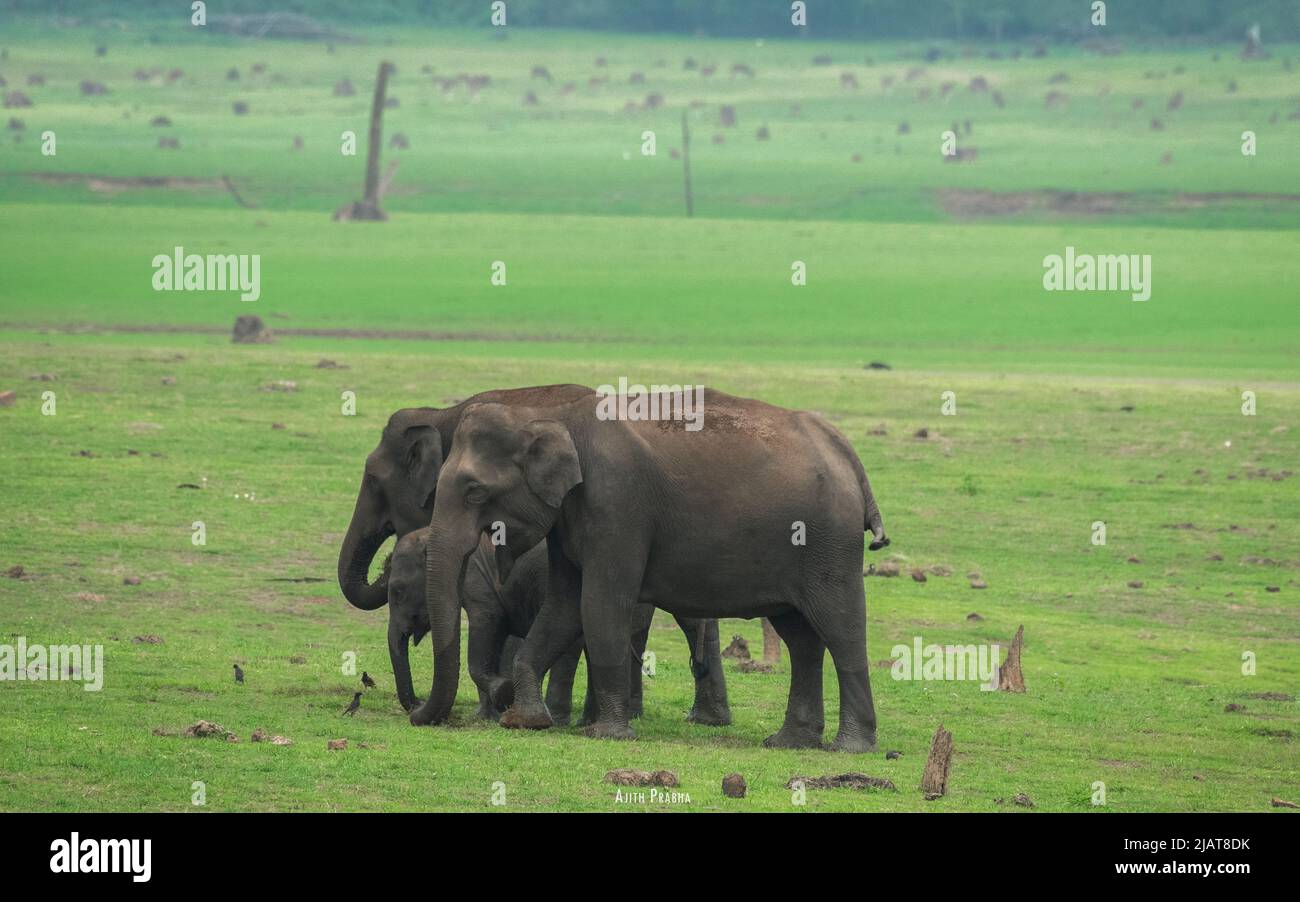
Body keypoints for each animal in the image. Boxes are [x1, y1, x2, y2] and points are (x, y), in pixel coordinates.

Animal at [338, 387, 733, 727]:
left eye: (372, 481)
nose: (416, 706)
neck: (438, 414)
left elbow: (490, 626)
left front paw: (498, 700)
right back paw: (693, 718)